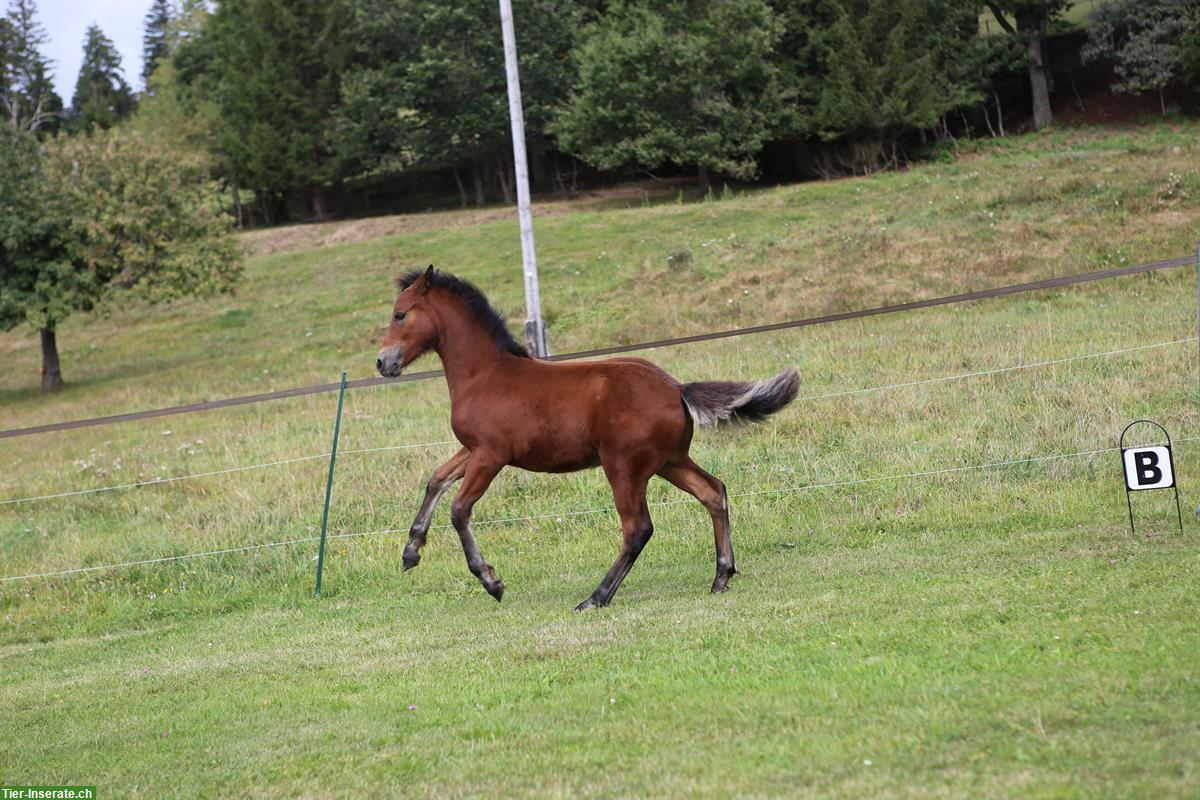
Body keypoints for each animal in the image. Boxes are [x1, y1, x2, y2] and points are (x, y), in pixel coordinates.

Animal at [374, 266, 801, 609]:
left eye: (400, 314)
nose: (382, 363)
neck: (485, 374)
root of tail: (676, 388)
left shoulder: (490, 455)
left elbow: (460, 509)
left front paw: (491, 581)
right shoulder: (472, 450)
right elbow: (436, 480)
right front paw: (410, 552)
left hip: (624, 466)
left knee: (638, 528)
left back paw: (596, 597)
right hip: (670, 461)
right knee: (713, 492)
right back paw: (721, 576)